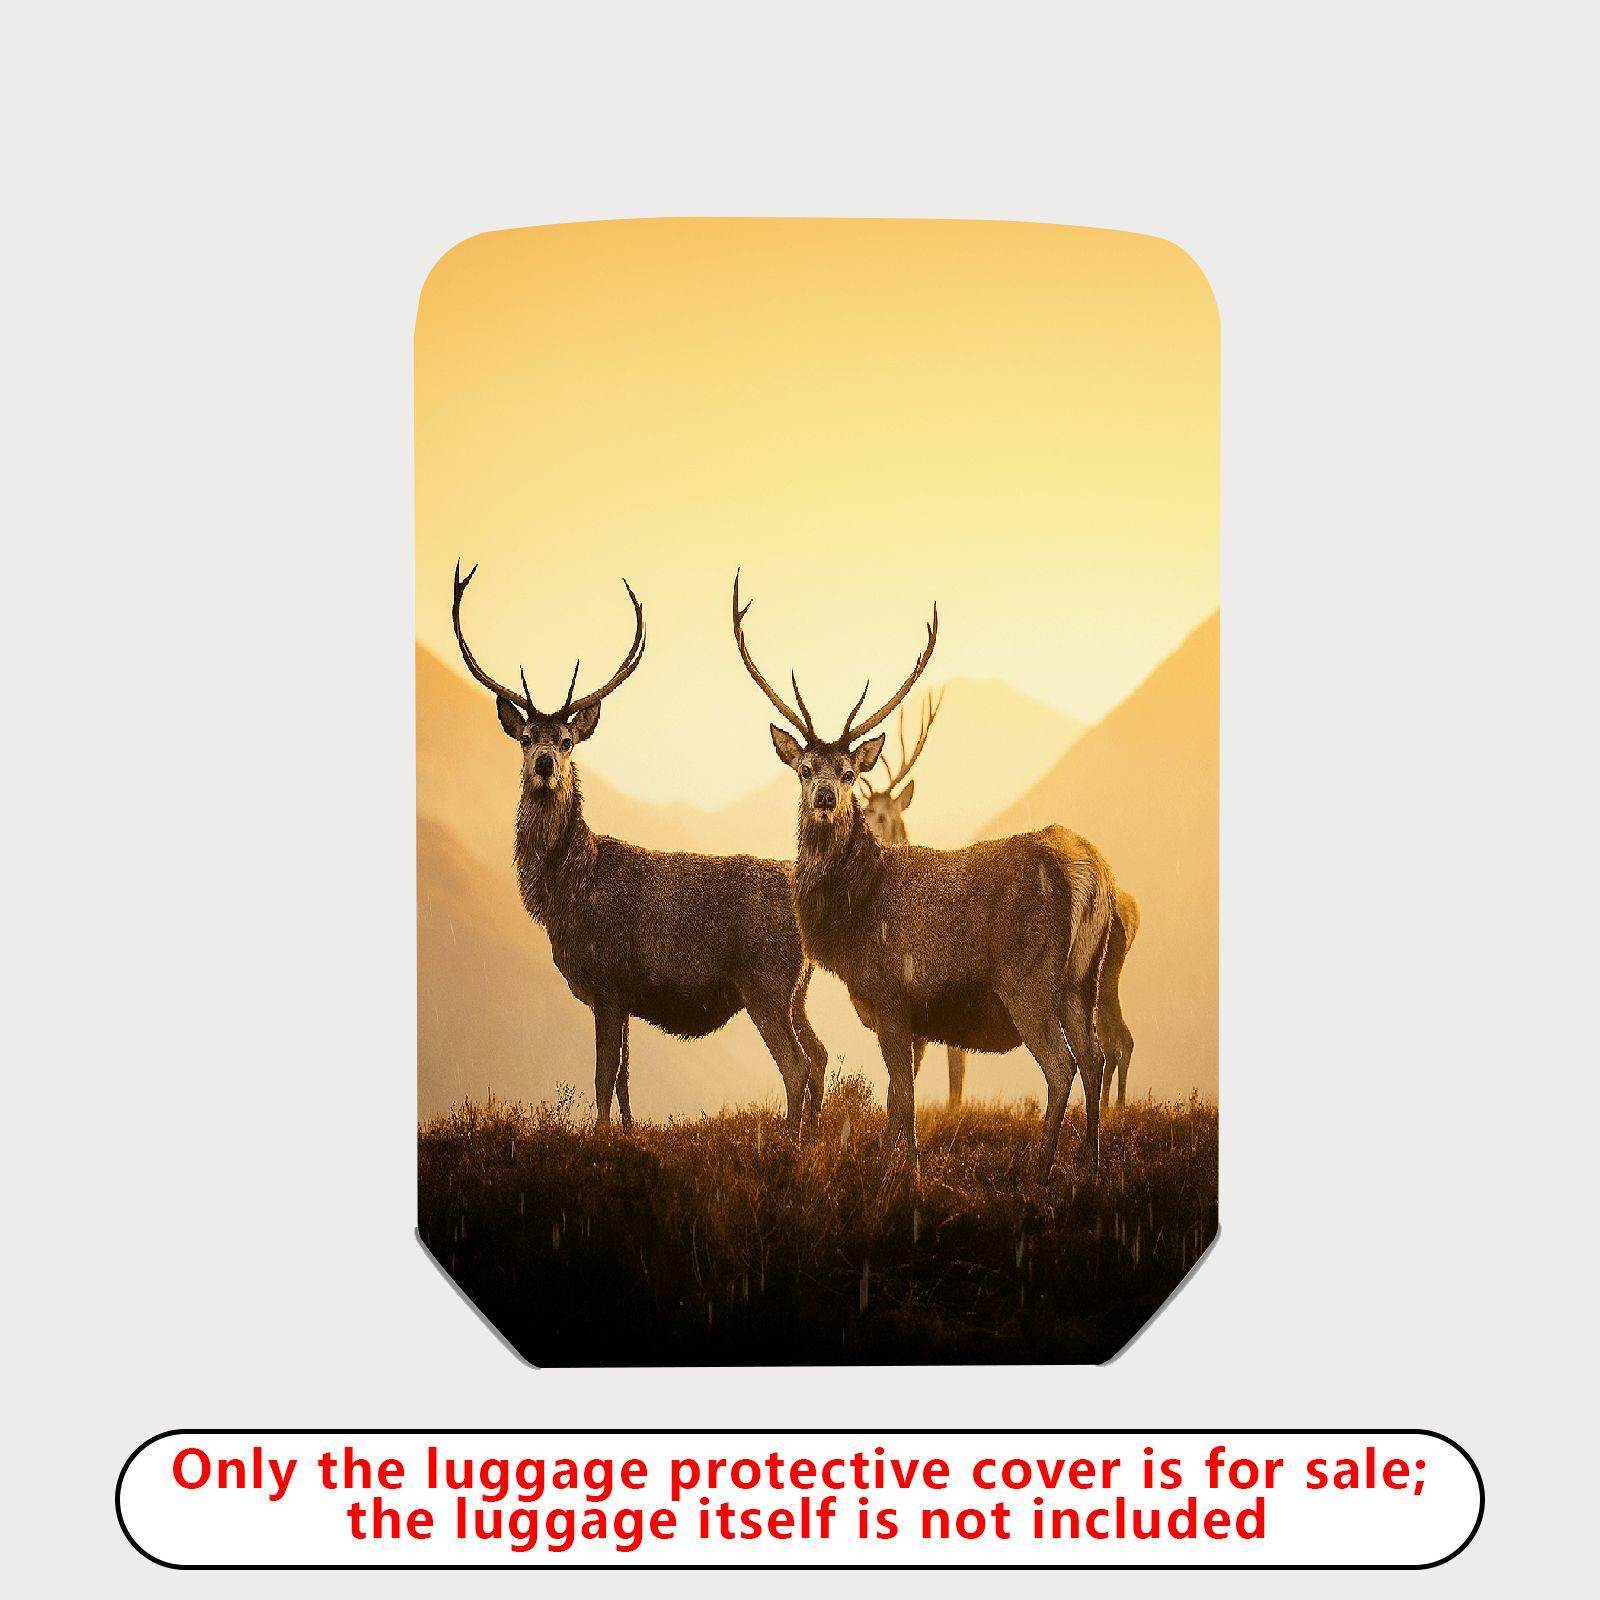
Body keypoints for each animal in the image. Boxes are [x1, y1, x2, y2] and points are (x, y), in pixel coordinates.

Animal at [451, 562, 828, 1134]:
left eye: (566, 741)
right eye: (526, 738)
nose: (545, 764)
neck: (566, 894)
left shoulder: (608, 982)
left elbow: (603, 1075)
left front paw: (600, 1137)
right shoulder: (624, 995)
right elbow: (625, 1076)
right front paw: (626, 1134)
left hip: (766, 982)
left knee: (797, 1065)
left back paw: (791, 1141)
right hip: (797, 991)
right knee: (819, 1055)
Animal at [859, 692, 1143, 1111]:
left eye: (881, 813)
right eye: (863, 808)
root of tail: (1130, 906)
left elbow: (939, 1069)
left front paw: (952, 1110)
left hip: (1098, 976)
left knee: (1114, 1041)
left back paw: (1115, 1108)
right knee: (1111, 1042)